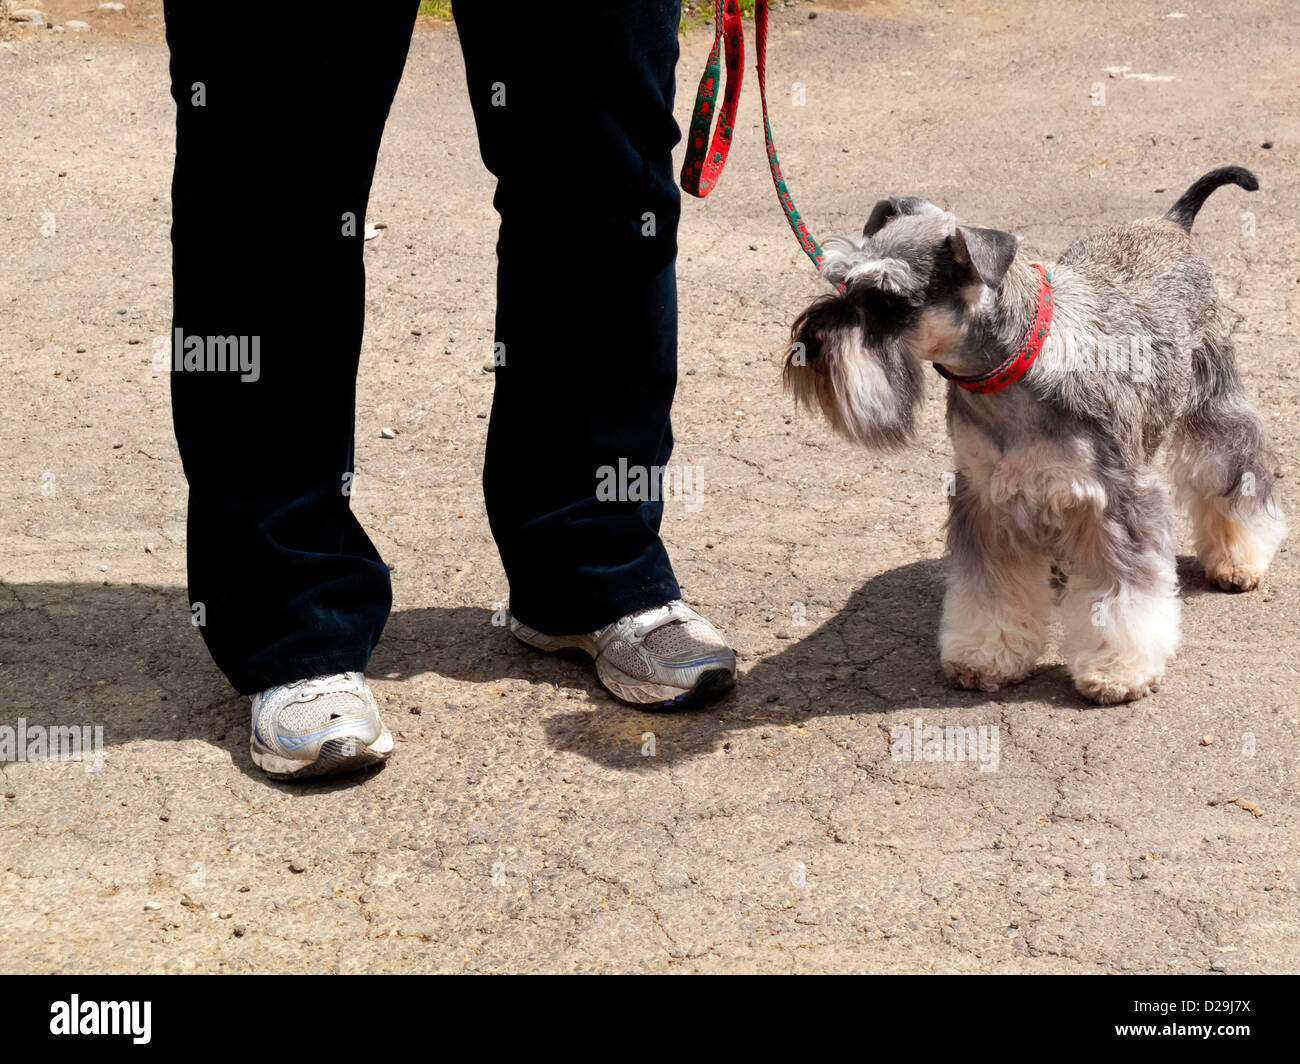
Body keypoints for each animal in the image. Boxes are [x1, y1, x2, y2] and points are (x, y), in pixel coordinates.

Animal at [785, 167, 1284, 702]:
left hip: (1213, 404)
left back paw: (1239, 557)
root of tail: (1172, 222)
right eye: (840, 281)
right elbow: (989, 591)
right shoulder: (984, 497)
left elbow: (1124, 594)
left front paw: (1117, 671)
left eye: (885, 298)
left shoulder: (1120, 499)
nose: (809, 342)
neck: (1012, 371)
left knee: (1234, 470)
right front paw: (984, 656)